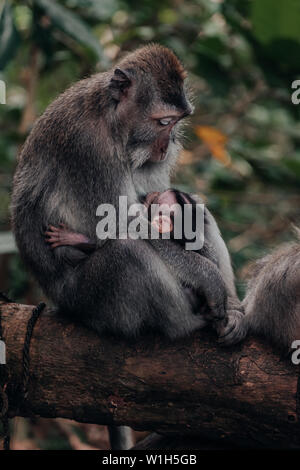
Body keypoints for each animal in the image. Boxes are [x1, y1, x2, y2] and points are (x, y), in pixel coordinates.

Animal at [11, 45, 244, 448]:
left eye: (177, 122)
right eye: (163, 121)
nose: (166, 148)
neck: (110, 121)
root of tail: (57, 301)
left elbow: (165, 204)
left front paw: (230, 303)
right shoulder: (88, 148)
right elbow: (122, 224)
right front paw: (211, 281)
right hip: (88, 301)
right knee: (127, 253)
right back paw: (186, 325)